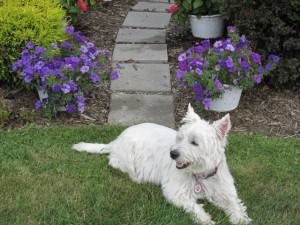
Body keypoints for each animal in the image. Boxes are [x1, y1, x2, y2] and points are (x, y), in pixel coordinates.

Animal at [72, 104, 251, 224]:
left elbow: (234, 204)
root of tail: (116, 141)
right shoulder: (176, 192)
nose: (173, 154)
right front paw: (206, 219)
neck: (201, 174)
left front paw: (240, 219)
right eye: (180, 138)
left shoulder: (224, 190)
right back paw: (138, 178)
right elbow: (194, 207)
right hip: (129, 156)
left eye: (195, 142)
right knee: (117, 164)